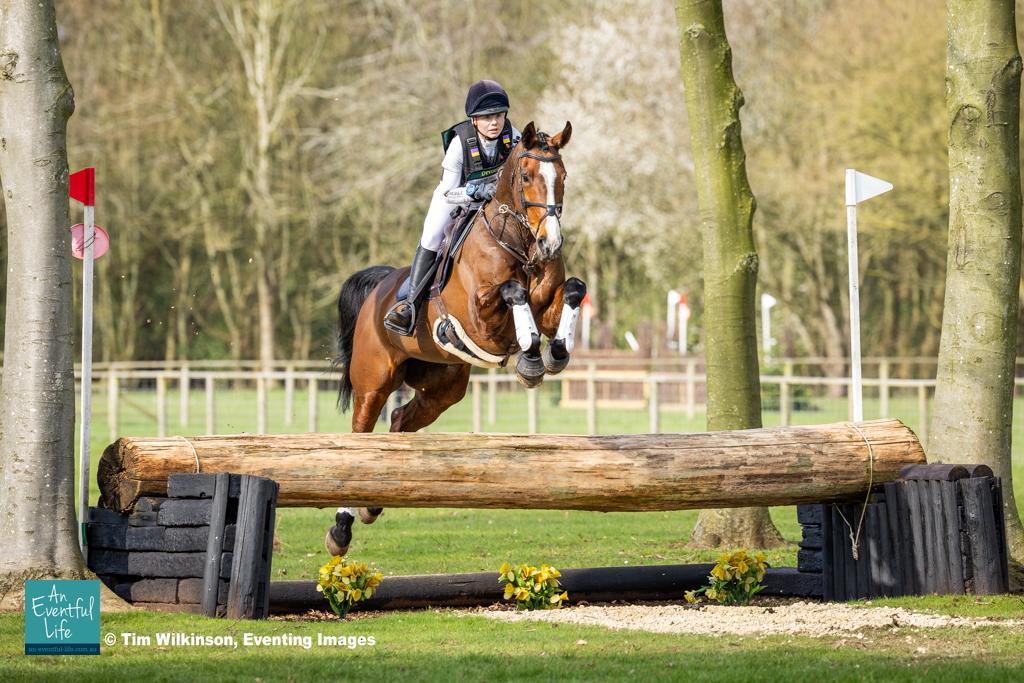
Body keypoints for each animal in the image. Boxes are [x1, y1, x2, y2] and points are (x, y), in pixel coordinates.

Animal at [324, 121, 587, 556]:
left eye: (563, 178)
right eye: (527, 177)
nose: (550, 243)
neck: (519, 243)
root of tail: (380, 288)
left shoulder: (548, 306)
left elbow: (573, 292)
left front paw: (554, 354)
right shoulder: (482, 317)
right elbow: (514, 293)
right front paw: (531, 360)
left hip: (443, 387)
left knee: (399, 421)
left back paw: (374, 502)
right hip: (373, 380)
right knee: (361, 434)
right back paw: (341, 529)